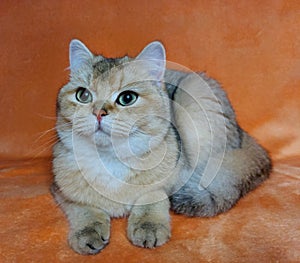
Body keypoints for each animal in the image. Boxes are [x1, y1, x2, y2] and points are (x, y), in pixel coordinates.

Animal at [51, 39, 272, 256]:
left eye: (127, 98)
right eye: (83, 95)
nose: (98, 113)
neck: (110, 160)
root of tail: (243, 133)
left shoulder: (166, 183)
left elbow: (152, 197)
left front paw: (148, 226)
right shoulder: (60, 188)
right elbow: (83, 207)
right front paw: (87, 232)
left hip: (194, 98)